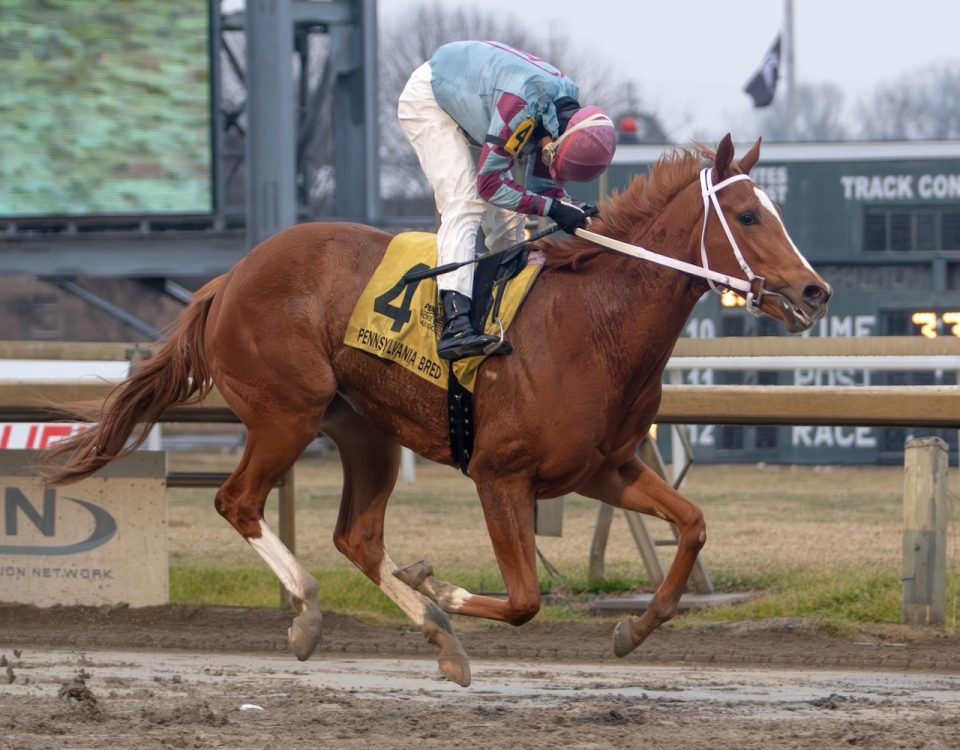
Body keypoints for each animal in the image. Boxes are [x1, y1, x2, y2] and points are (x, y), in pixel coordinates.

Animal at [43, 135, 824, 688]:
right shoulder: (498, 475)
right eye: (749, 215)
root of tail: (228, 277)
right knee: (238, 502)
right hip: (286, 412)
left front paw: (633, 630)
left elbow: (692, 525)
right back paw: (313, 614)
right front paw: (440, 583)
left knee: (357, 536)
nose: (815, 291)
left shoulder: (605, 468)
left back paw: (438, 634)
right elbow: (524, 599)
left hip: (364, 431)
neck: (593, 321)